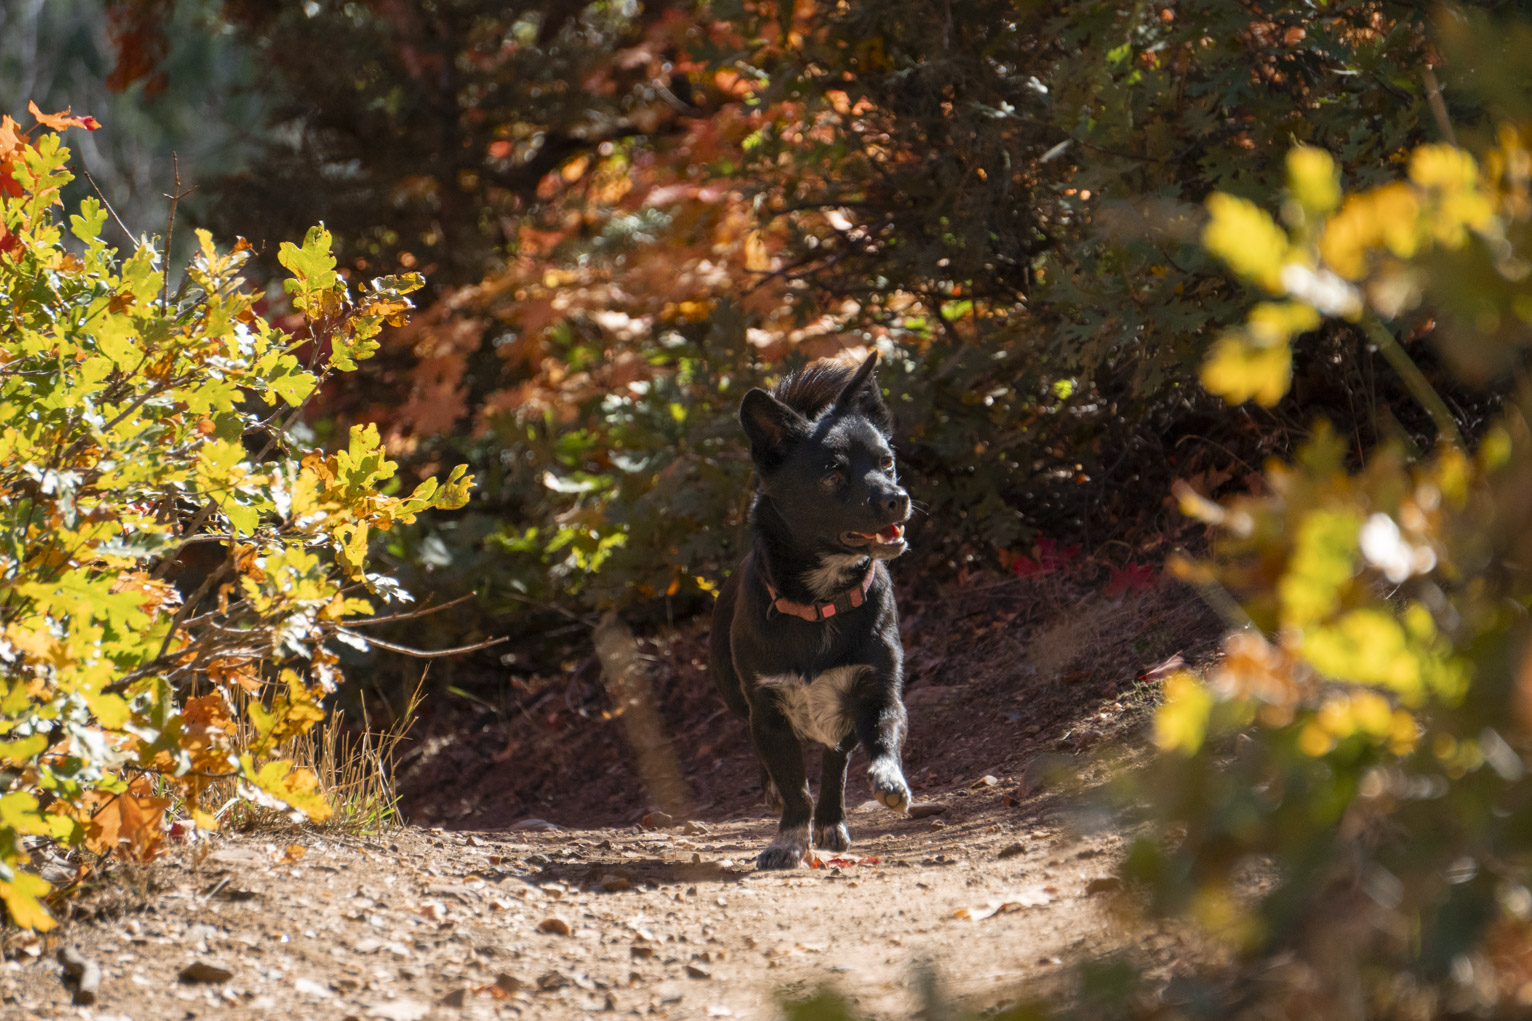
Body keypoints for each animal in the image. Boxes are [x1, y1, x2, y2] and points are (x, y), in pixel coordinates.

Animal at [707, 349, 906, 864]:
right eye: (833, 475)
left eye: (887, 462)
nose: (898, 499)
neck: (822, 602)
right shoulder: (768, 710)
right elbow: (795, 785)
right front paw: (789, 839)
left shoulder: (877, 690)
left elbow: (881, 739)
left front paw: (888, 779)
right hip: (736, 697)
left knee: (835, 764)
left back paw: (833, 823)